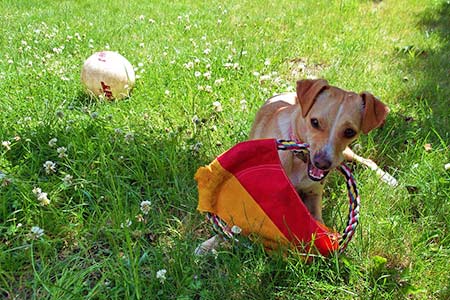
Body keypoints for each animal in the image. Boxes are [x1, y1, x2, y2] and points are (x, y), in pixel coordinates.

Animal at [250, 79, 390, 223]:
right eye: (315, 122)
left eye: (350, 131)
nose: (321, 163)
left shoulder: (314, 195)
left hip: (346, 154)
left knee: (367, 160)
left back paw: (388, 179)